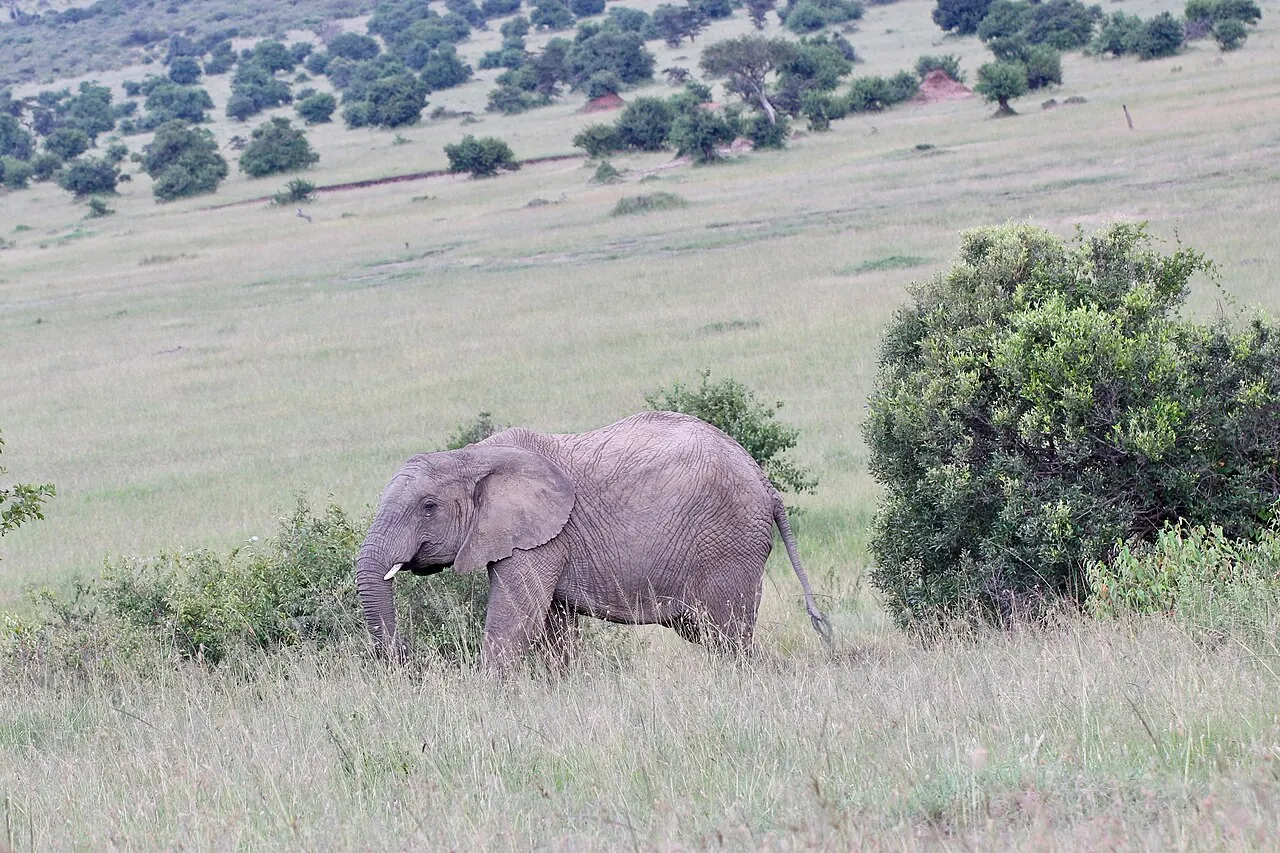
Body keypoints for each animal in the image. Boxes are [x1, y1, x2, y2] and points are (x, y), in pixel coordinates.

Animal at [356, 411, 831, 674]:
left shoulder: (541, 537)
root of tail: (766, 484)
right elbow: (552, 631)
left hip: (729, 543)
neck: (471, 455)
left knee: (728, 635)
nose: (405, 659)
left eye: (428, 507)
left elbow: (515, 621)